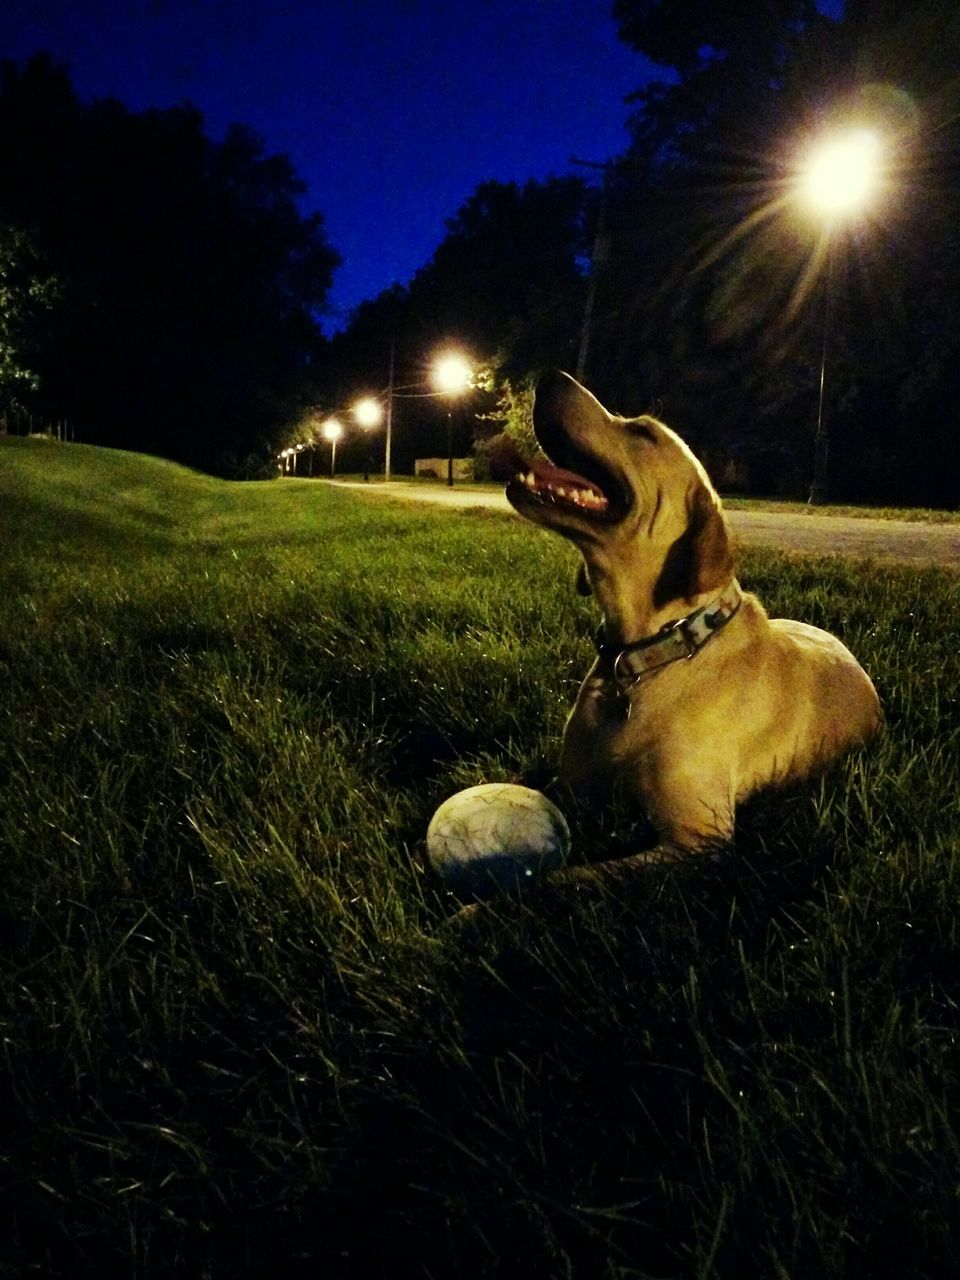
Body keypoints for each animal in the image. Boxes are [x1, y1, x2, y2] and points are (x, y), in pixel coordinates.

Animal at [506, 373, 885, 865]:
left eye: (642, 433)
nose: (551, 375)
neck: (657, 650)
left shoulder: (698, 839)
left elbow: (573, 877)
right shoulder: (569, 786)